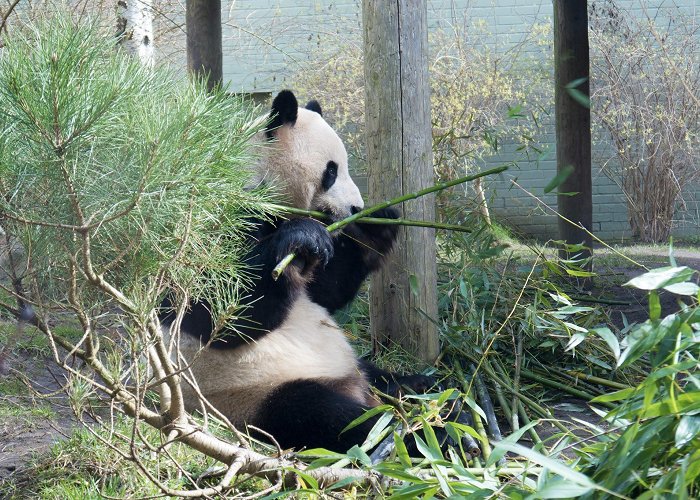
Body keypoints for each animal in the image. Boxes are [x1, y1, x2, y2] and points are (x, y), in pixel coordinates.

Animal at [162, 90, 432, 454]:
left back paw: (421, 387)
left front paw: (375, 226)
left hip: (352, 363)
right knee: (327, 415)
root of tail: (354, 386)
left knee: (384, 378)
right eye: (331, 171)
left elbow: (324, 292)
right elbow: (218, 313)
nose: (356, 207)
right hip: (255, 396)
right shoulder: (214, 219)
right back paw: (420, 435)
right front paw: (302, 236)